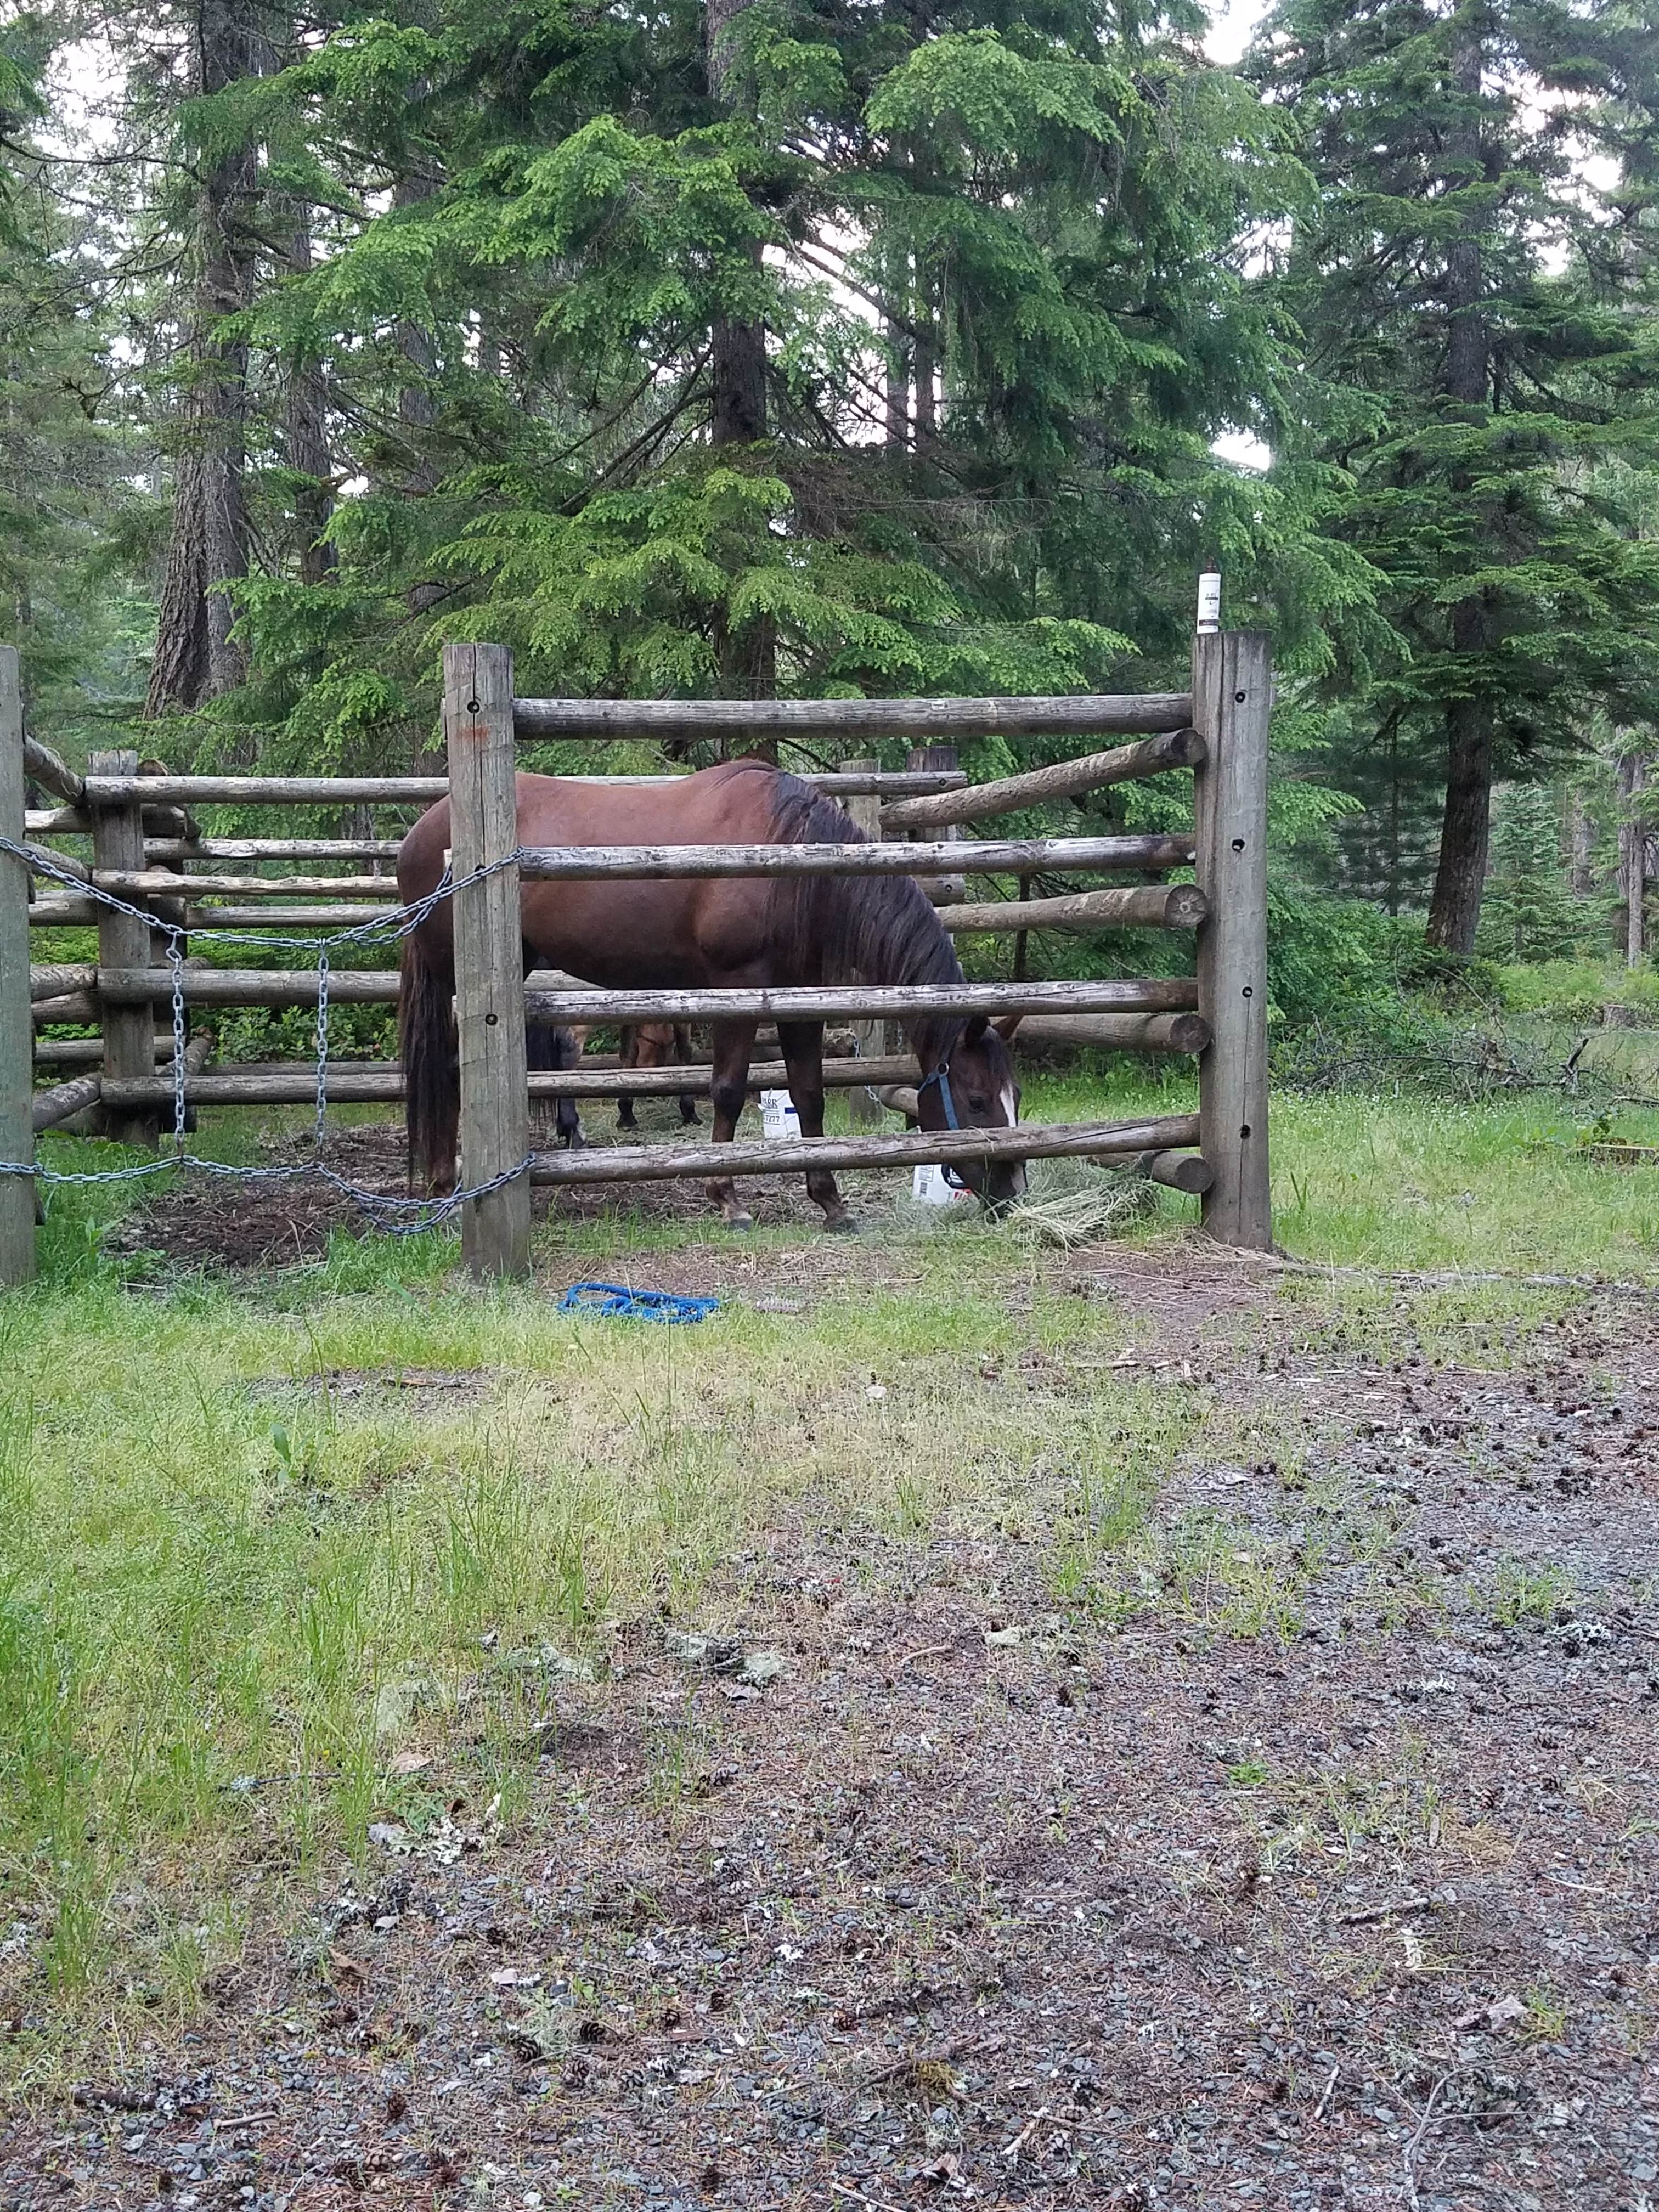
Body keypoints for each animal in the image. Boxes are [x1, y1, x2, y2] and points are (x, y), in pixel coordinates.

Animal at [402, 765, 1026, 1229]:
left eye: (1016, 1094)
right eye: (976, 1100)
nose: (1012, 1191)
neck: (789, 858)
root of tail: (425, 829)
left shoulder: (798, 993)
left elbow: (809, 1093)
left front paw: (829, 1199)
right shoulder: (739, 985)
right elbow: (727, 1089)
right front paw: (726, 1197)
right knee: (448, 1075)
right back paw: (445, 1190)